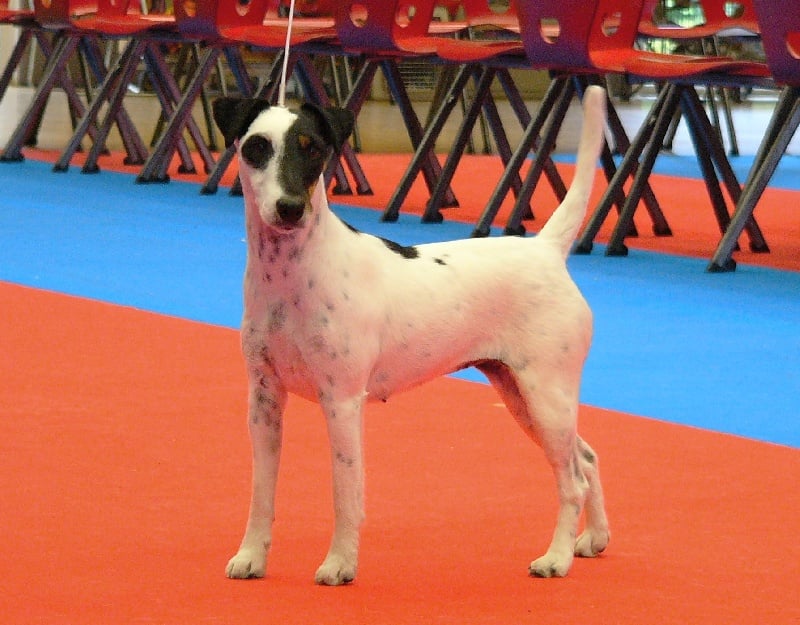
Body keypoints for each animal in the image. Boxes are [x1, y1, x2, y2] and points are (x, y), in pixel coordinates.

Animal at [211, 85, 610, 585]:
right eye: (257, 147)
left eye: (313, 149)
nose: (290, 208)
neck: (292, 274)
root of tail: (546, 249)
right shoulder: (263, 400)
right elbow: (261, 494)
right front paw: (251, 557)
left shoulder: (341, 401)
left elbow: (345, 492)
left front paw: (340, 563)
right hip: (522, 397)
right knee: (588, 459)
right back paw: (593, 539)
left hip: (546, 396)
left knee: (571, 480)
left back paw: (556, 559)